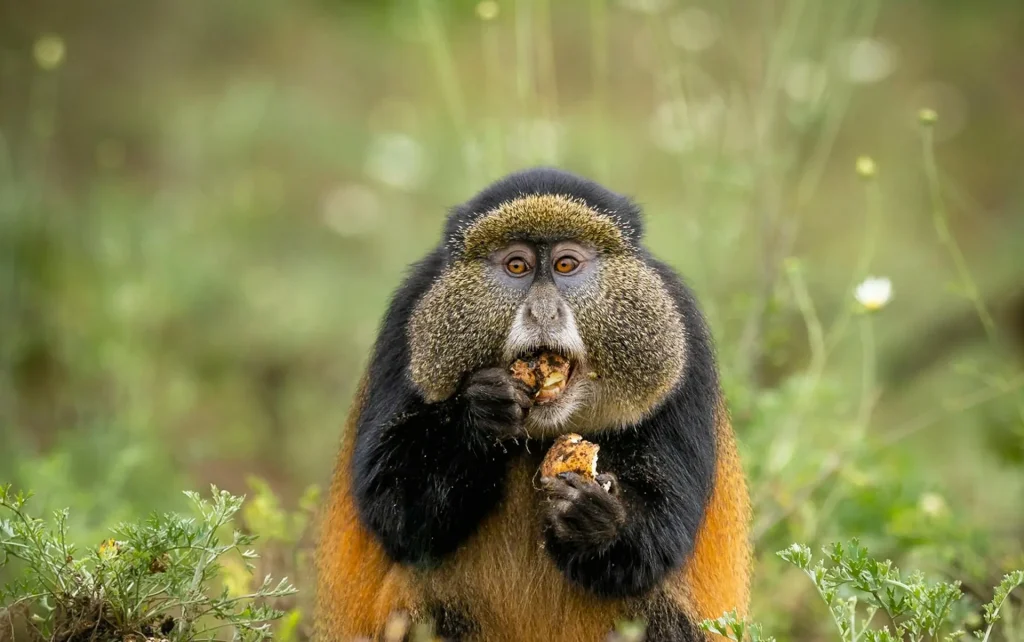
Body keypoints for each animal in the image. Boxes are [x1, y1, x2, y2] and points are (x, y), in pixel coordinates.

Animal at [314, 167, 752, 642]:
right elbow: (393, 507)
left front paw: (594, 518)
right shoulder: (407, 317)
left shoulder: (681, 334)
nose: (543, 313)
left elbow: (662, 537)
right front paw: (479, 417)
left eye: (565, 265)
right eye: (517, 266)